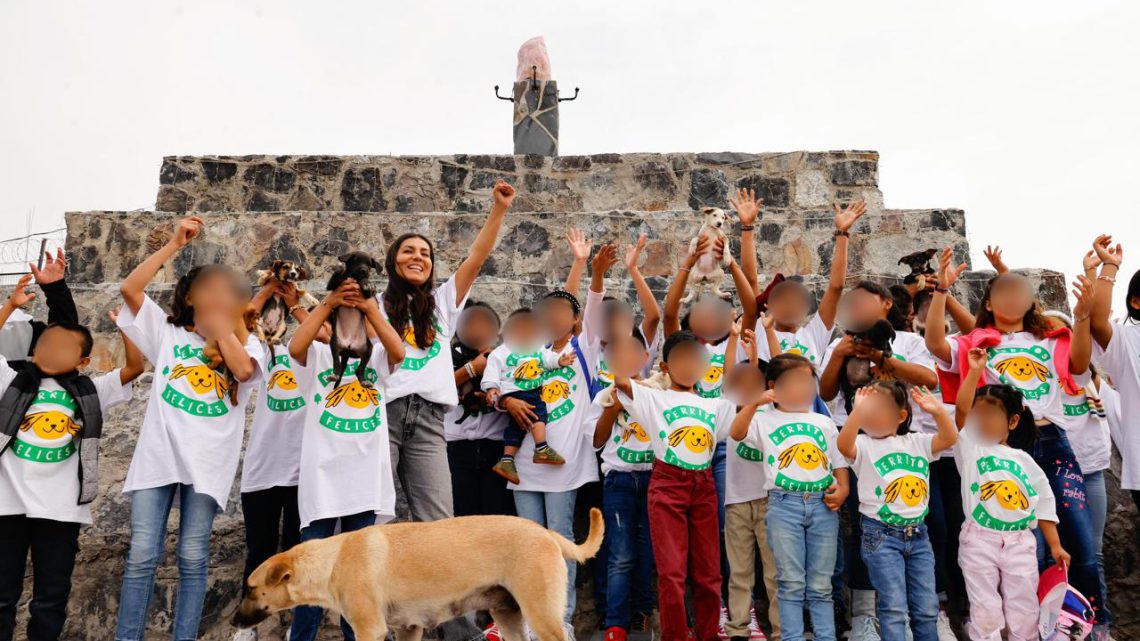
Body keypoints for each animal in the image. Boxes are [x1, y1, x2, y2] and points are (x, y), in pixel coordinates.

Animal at [328, 252, 385, 387]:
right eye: (356, 260)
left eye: (369, 264)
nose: (364, 270)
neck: (354, 278)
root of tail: (349, 347)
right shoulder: (332, 287)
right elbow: (339, 274)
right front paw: (340, 268)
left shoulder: (370, 296)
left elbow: (366, 284)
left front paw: (367, 283)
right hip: (334, 342)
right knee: (337, 363)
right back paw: (334, 374)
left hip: (368, 349)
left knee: (359, 369)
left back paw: (364, 381)